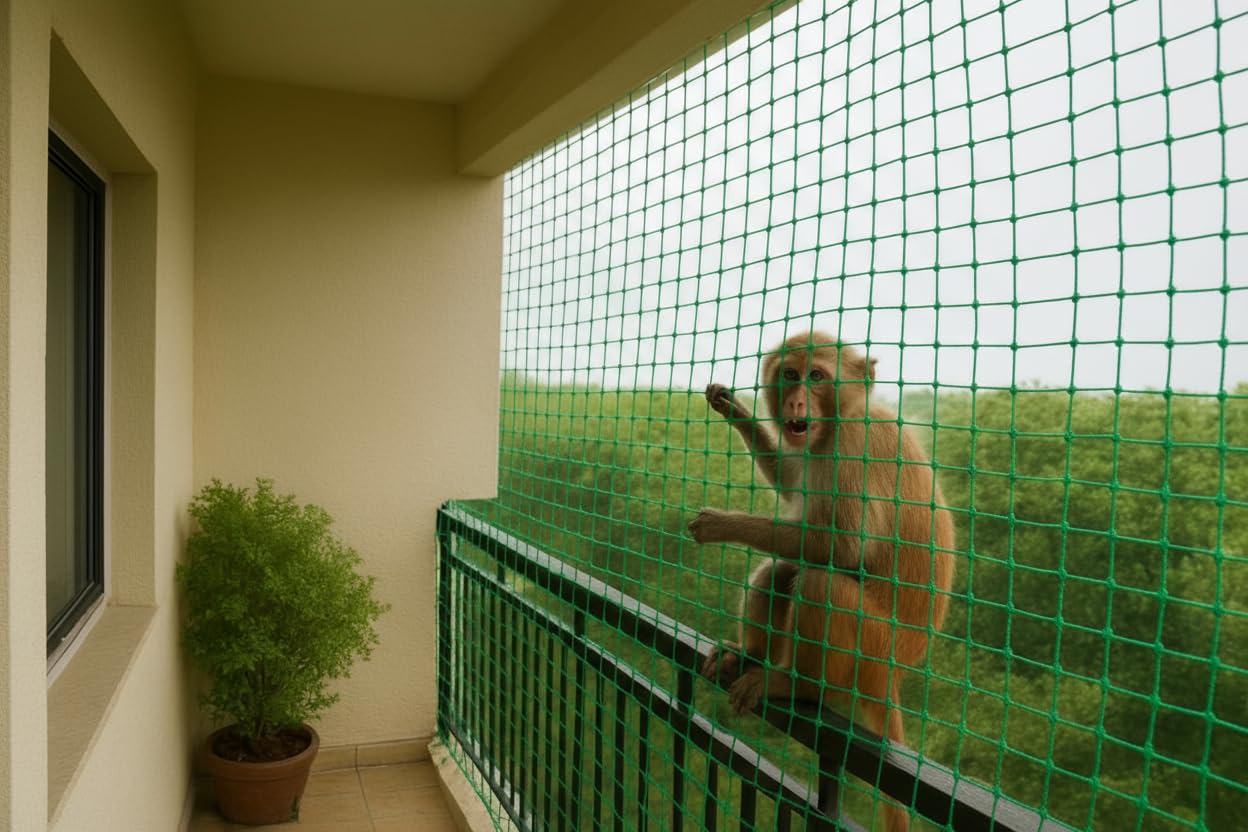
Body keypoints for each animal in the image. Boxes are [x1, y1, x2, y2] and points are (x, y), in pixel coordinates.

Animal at [688, 331, 955, 832]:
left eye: (816, 376)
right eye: (791, 374)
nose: (796, 399)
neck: (836, 421)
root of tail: (895, 671)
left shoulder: (854, 443)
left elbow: (842, 547)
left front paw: (723, 524)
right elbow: (794, 483)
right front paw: (737, 410)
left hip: (874, 646)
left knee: (821, 584)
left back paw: (796, 686)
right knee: (780, 572)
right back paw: (751, 656)